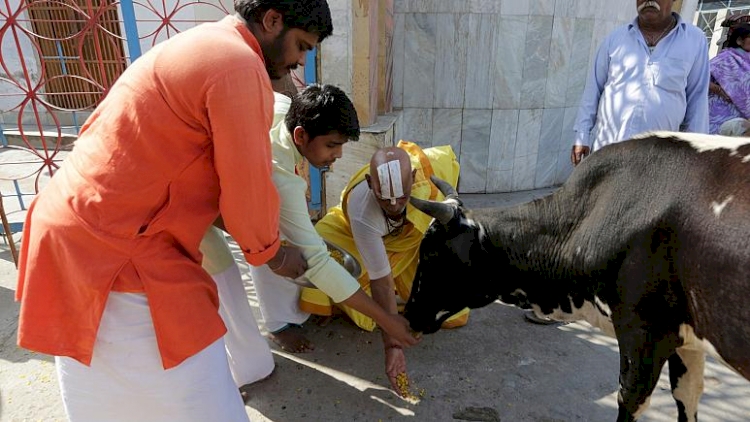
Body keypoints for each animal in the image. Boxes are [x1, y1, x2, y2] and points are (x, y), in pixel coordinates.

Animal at [406, 132, 750, 422]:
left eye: (431, 254)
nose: (408, 313)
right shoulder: (687, 339)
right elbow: (686, 396)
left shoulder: (644, 333)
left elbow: (629, 400)